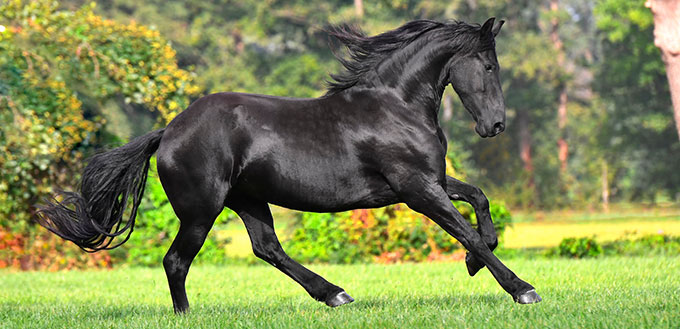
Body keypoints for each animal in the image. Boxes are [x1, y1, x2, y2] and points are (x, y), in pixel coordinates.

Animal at [39, 18, 540, 312]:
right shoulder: (416, 188)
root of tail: (169, 131)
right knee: (177, 260)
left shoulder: (427, 181)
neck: (394, 105)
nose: (495, 125)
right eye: (489, 65)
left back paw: (335, 294)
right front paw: (521, 288)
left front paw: (476, 262)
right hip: (202, 210)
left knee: (267, 249)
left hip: (247, 200)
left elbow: (479, 200)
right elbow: (465, 229)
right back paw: (187, 315)